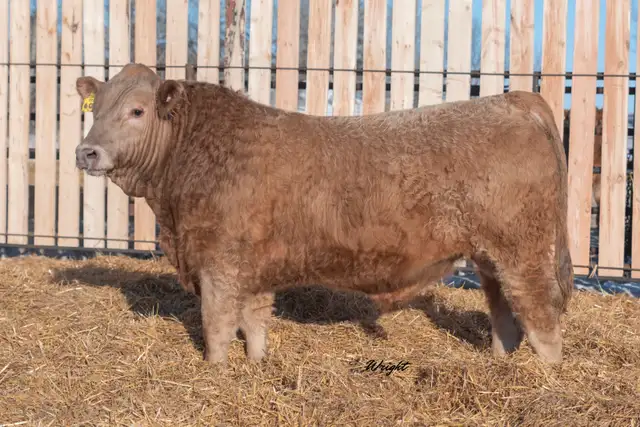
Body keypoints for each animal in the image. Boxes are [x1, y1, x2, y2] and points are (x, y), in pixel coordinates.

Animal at [74, 63, 574, 365]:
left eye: (136, 110)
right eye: (95, 110)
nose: (86, 151)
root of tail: (511, 100)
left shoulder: (219, 263)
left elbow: (216, 327)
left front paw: (214, 371)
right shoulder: (251, 268)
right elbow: (254, 322)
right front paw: (256, 365)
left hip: (523, 249)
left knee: (540, 313)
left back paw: (545, 376)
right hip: (491, 254)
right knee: (504, 309)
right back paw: (500, 363)